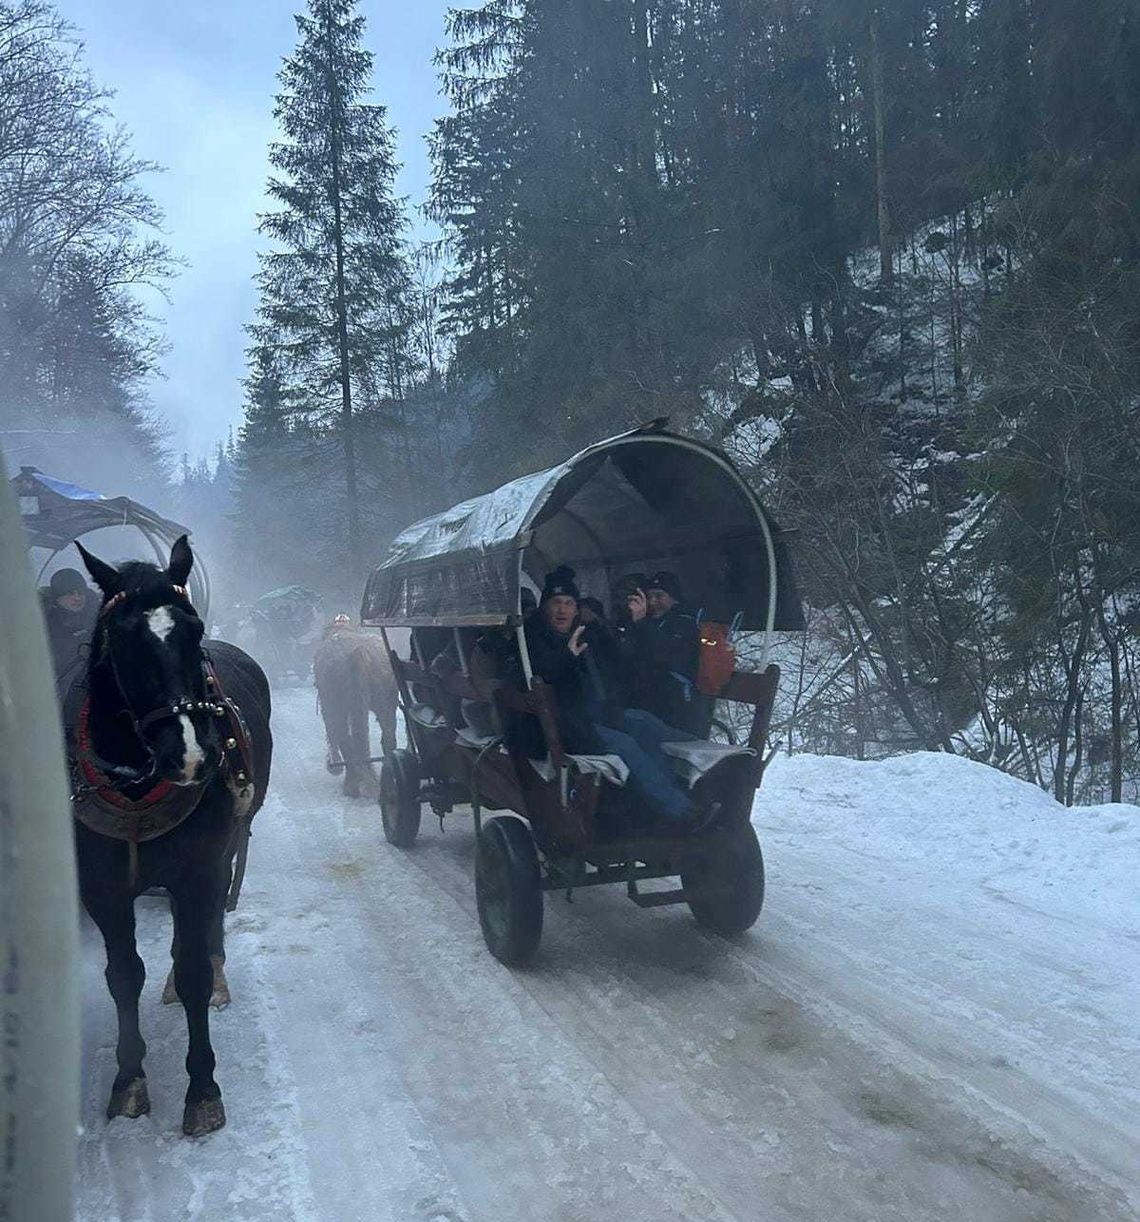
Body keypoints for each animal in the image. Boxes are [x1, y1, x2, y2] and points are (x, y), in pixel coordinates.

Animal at [70, 540, 271, 1138]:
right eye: (124, 636)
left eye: (193, 628)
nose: (191, 756)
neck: (138, 788)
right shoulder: (103, 889)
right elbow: (123, 975)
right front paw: (128, 1079)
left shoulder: (198, 870)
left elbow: (193, 972)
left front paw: (202, 1088)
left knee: (205, 931)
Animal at [312, 625, 398, 796]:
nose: (330, 765)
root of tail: (359, 652)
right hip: (384, 695)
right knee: (387, 732)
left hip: (336, 696)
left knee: (343, 734)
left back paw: (352, 786)